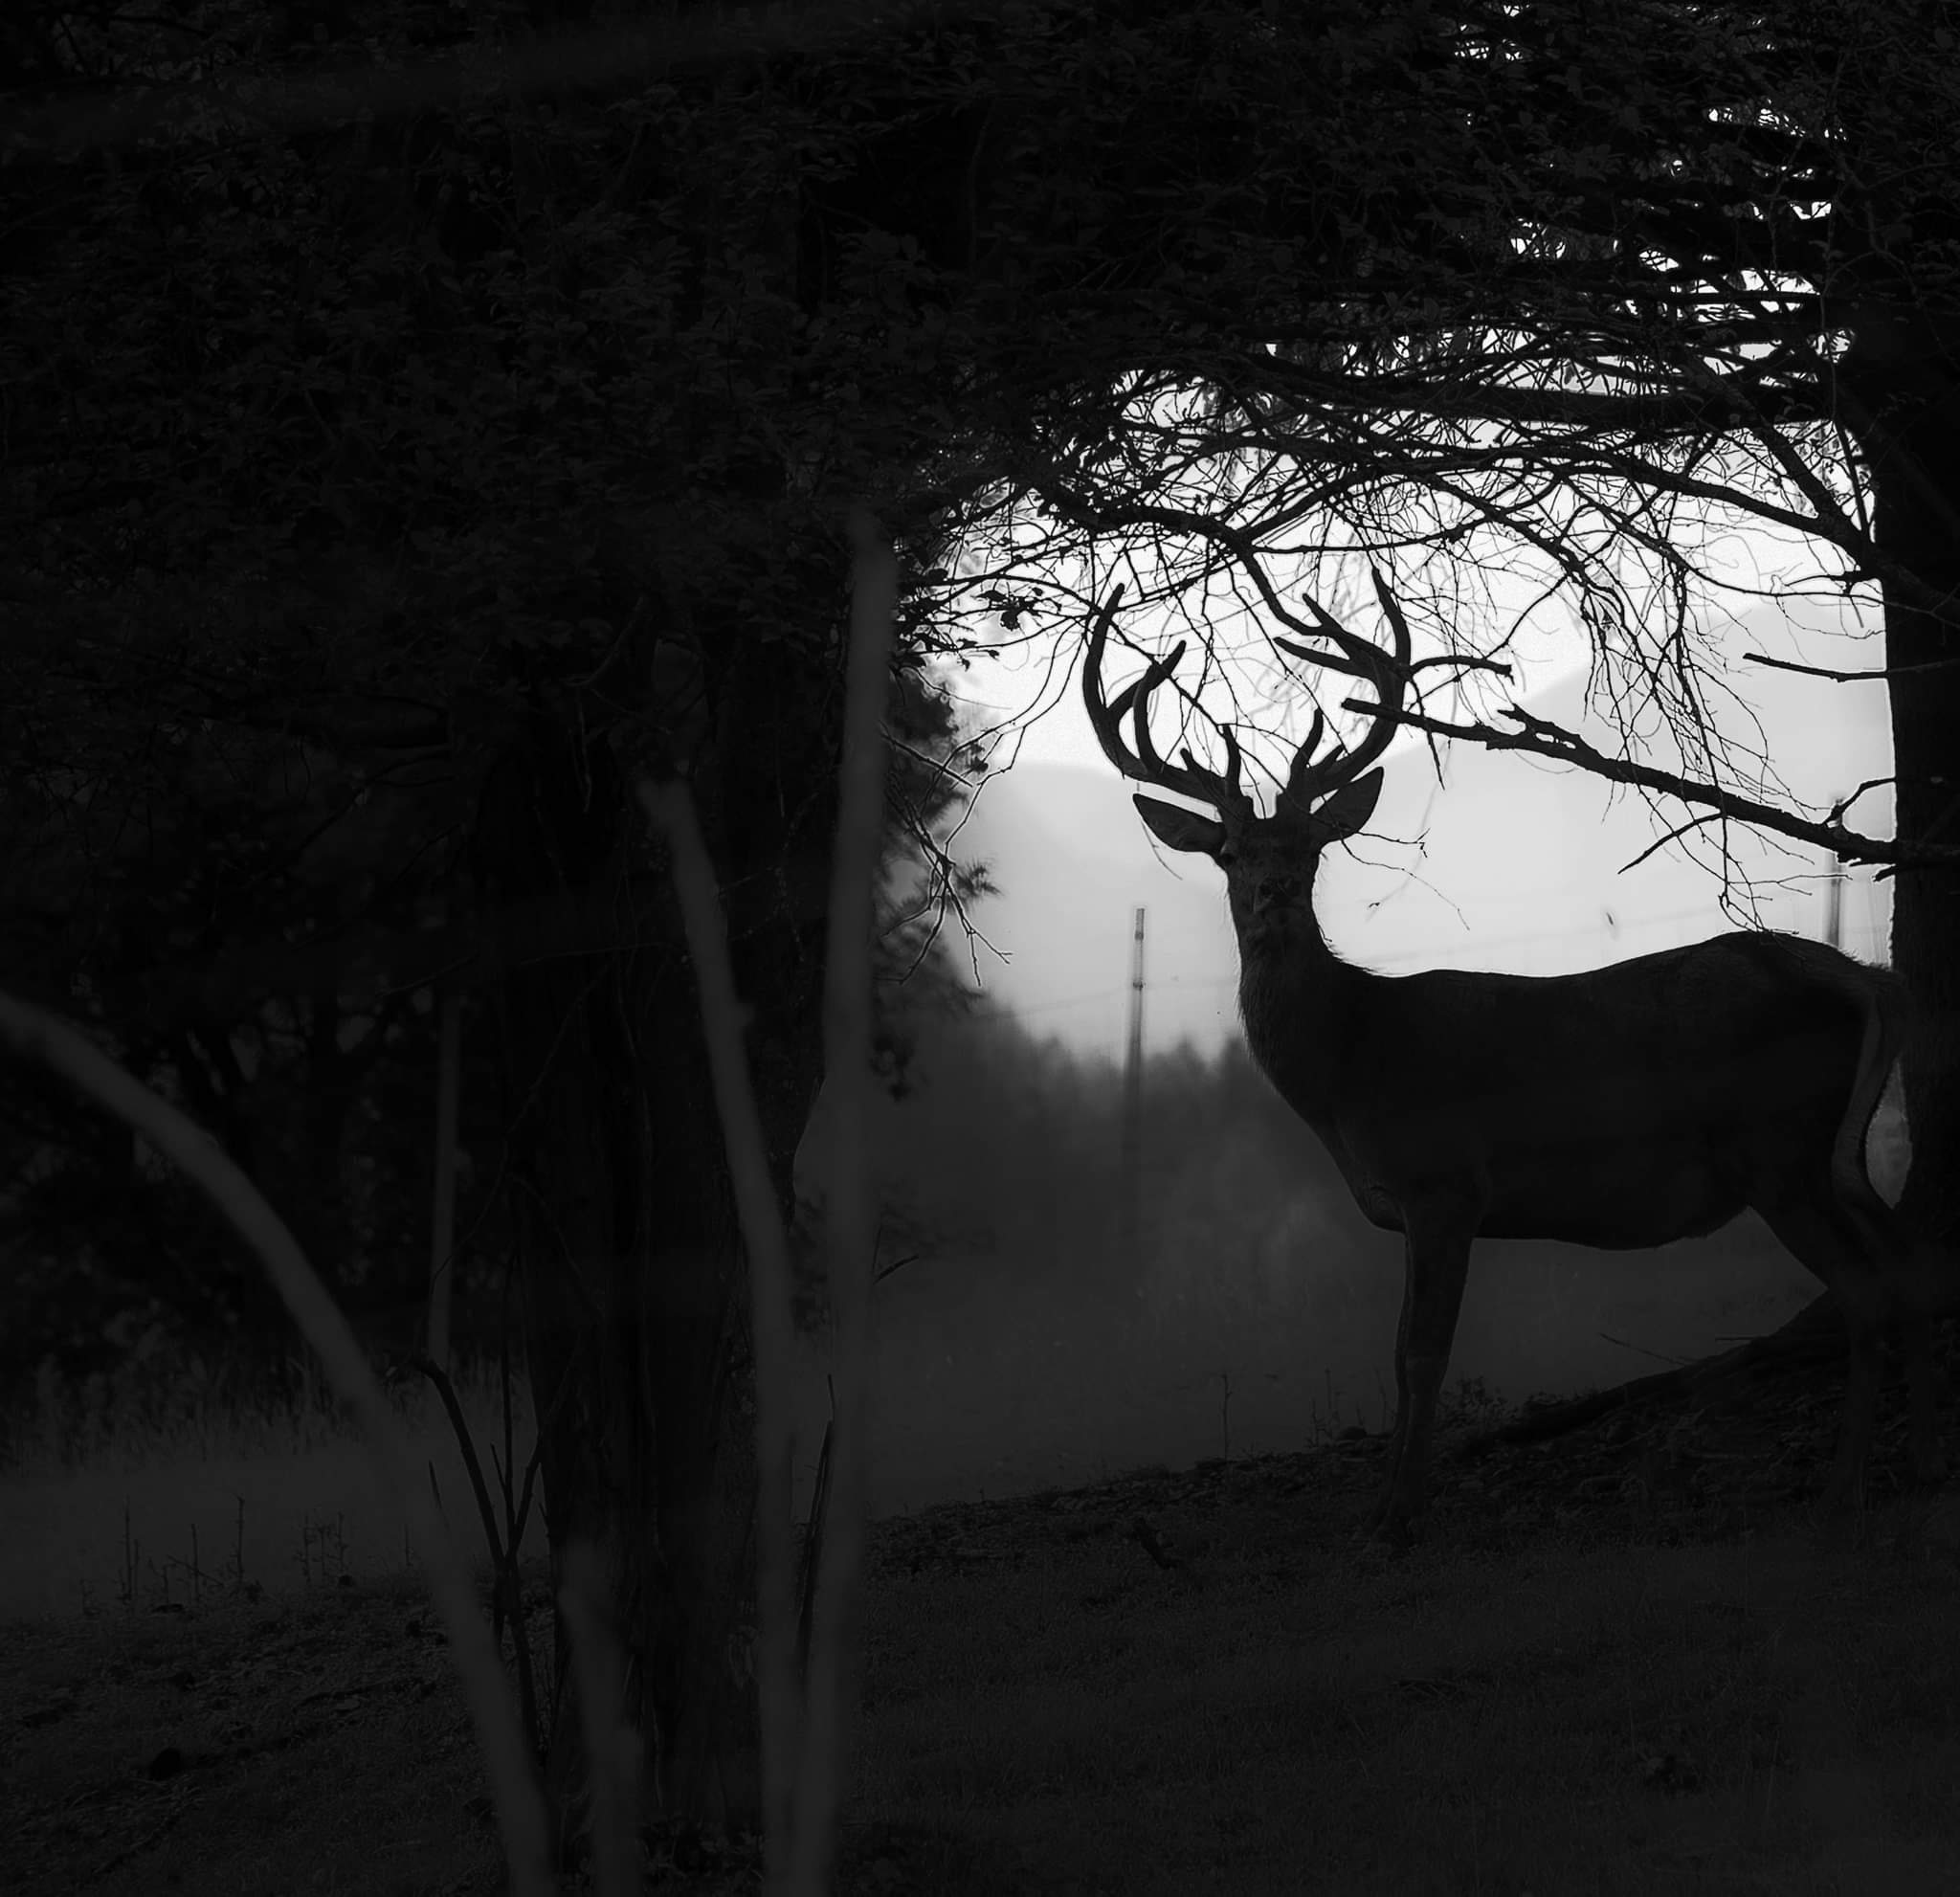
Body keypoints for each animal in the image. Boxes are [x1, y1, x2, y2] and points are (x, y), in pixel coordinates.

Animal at [1083, 569, 1954, 1544]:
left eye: (1309, 849)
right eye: (1230, 852)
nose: (1270, 893)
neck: (1353, 1064)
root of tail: (1864, 978)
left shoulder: (1446, 1184)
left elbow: (1421, 1354)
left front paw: (1401, 1518)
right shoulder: (1415, 1204)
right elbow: (1397, 1350)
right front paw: (1384, 1508)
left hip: (1779, 1145)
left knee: (1868, 1289)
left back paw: (1845, 1489)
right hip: (1834, 1153)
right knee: (1912, 1265)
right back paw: (1921, 1465)